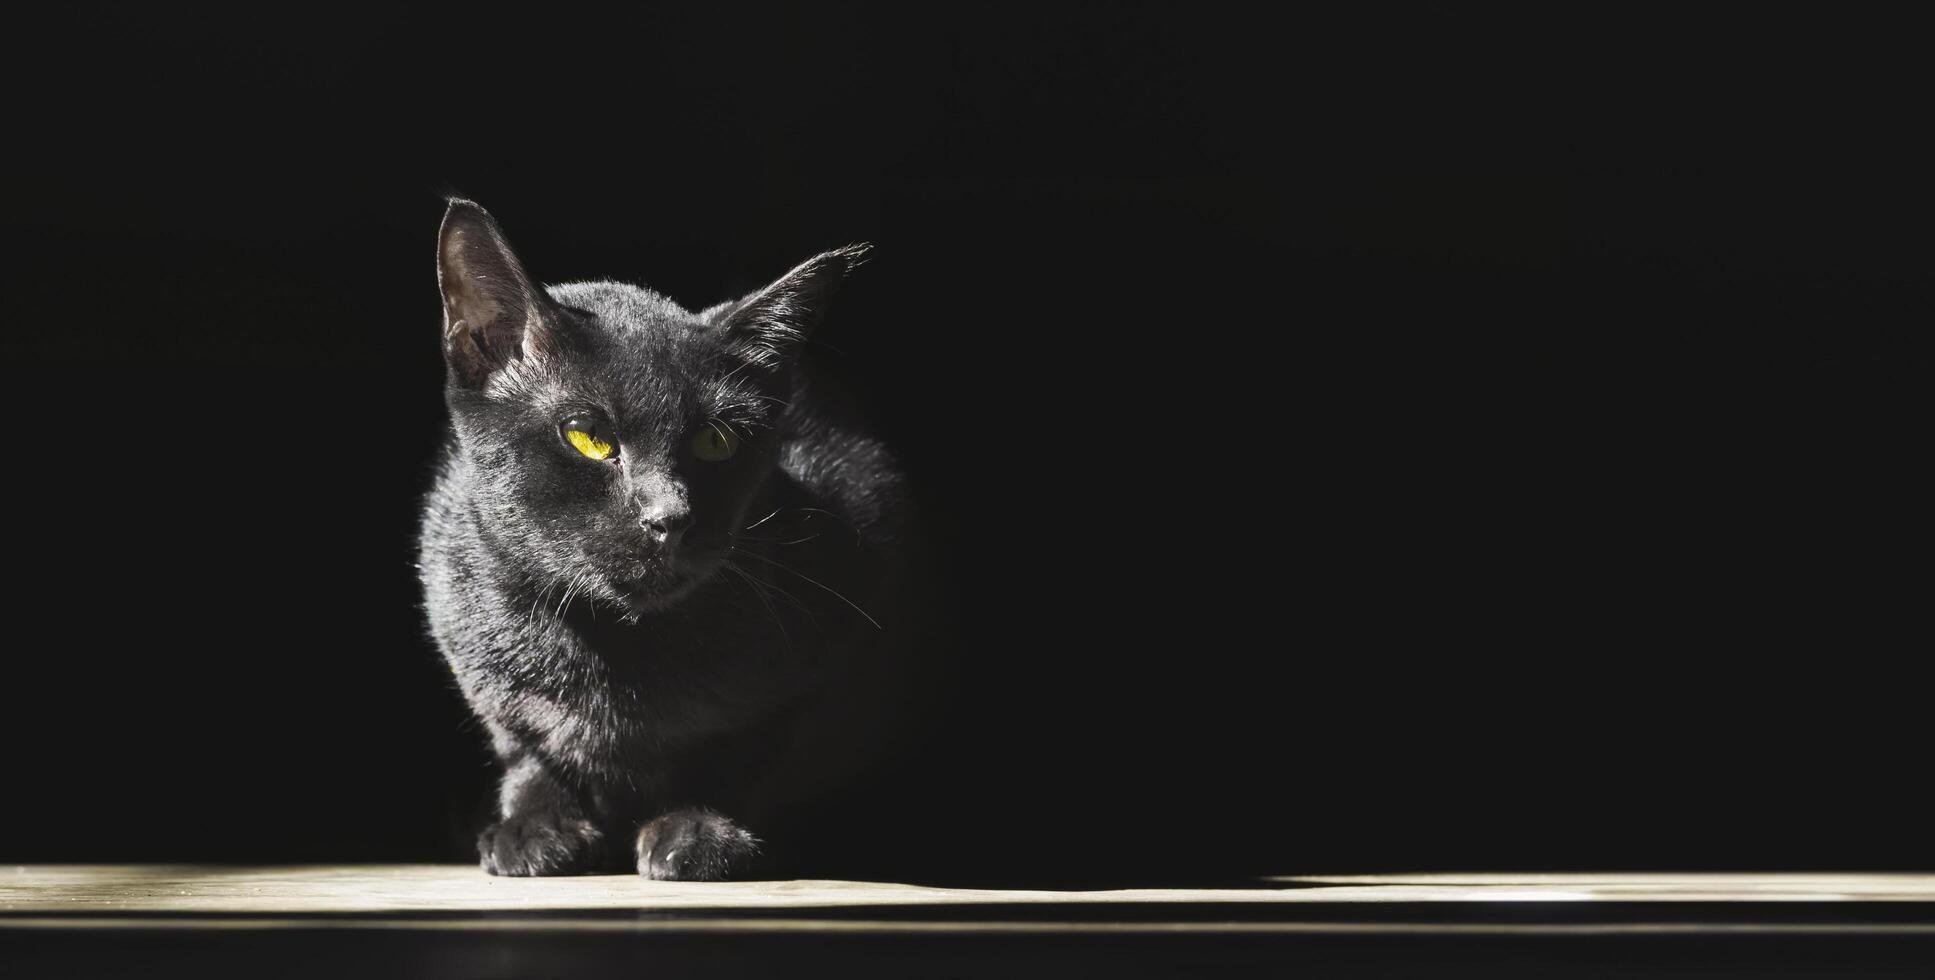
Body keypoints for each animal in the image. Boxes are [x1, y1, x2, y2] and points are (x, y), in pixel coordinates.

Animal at [416, 201, 913, 879]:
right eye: (587, 435)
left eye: (715, 441)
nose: (670, 516)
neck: (614, 648)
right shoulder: (469, 642)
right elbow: (524, 743)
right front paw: (534, 826)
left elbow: (745, 746)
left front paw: (700, 829)